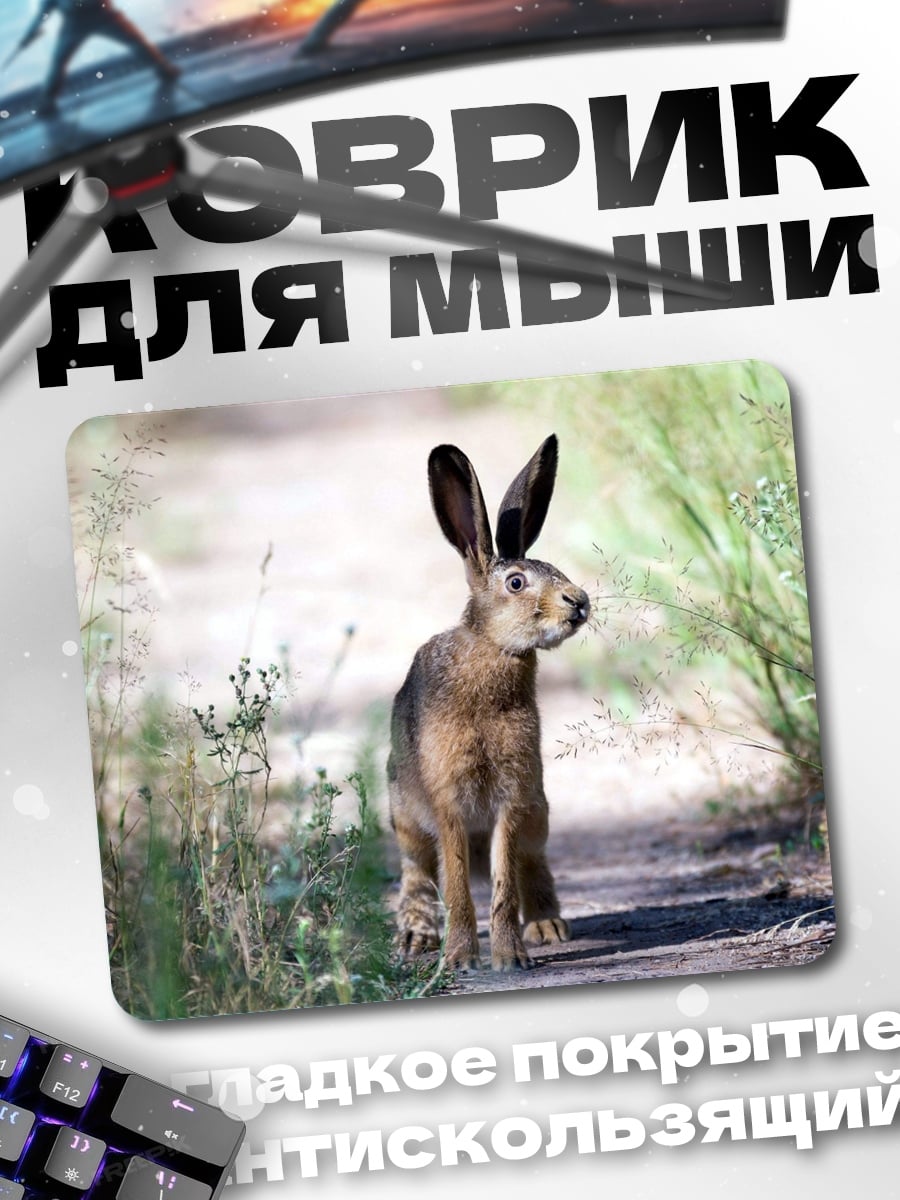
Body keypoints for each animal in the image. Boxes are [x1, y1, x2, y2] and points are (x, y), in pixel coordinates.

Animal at [387, 433, 590, 971]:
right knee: (417, 871)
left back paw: (547, 927)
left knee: (532, 864)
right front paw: (460, 957)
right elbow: (457, 884)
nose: (580, 602)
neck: (493, 649)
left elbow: (502, 884)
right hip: (406, 817)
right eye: (516, 583)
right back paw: (415, 936)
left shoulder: (512, 799)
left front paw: (510, 958)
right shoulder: (448, 802)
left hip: (538, 811)